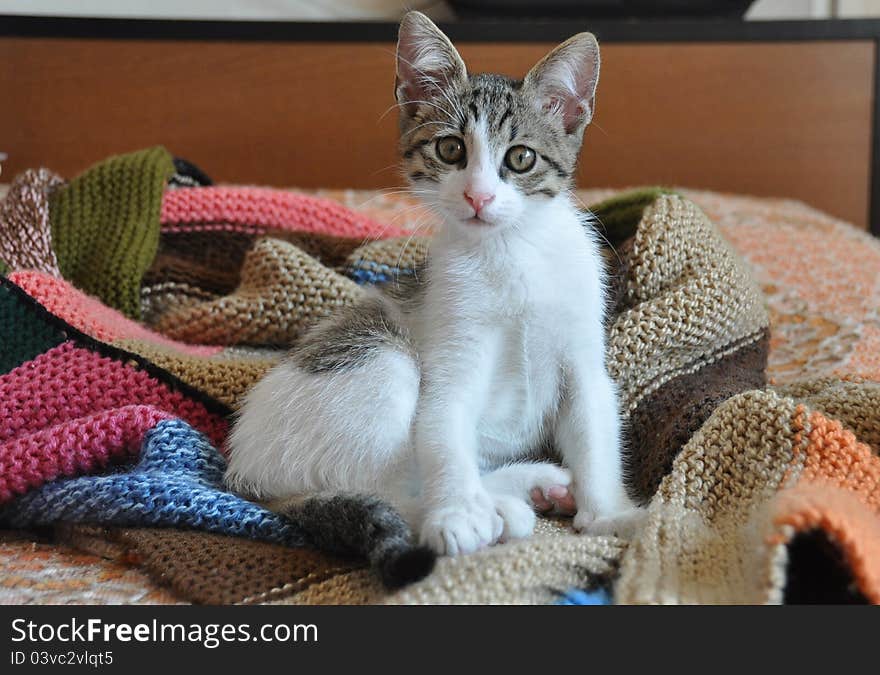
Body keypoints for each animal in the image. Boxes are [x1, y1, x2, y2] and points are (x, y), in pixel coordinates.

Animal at [223, 13, 644, 556]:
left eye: (521, 158)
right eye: (451, 149)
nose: (478, 196)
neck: (510, 253)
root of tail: (242, 468)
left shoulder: (582, 353)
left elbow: (594, 425)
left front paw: (610, 514)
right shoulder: (452, 350)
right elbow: (444, 429)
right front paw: (458, 514)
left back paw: (528, 488)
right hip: (378, 361)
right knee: (390, 483)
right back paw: (497, 506)